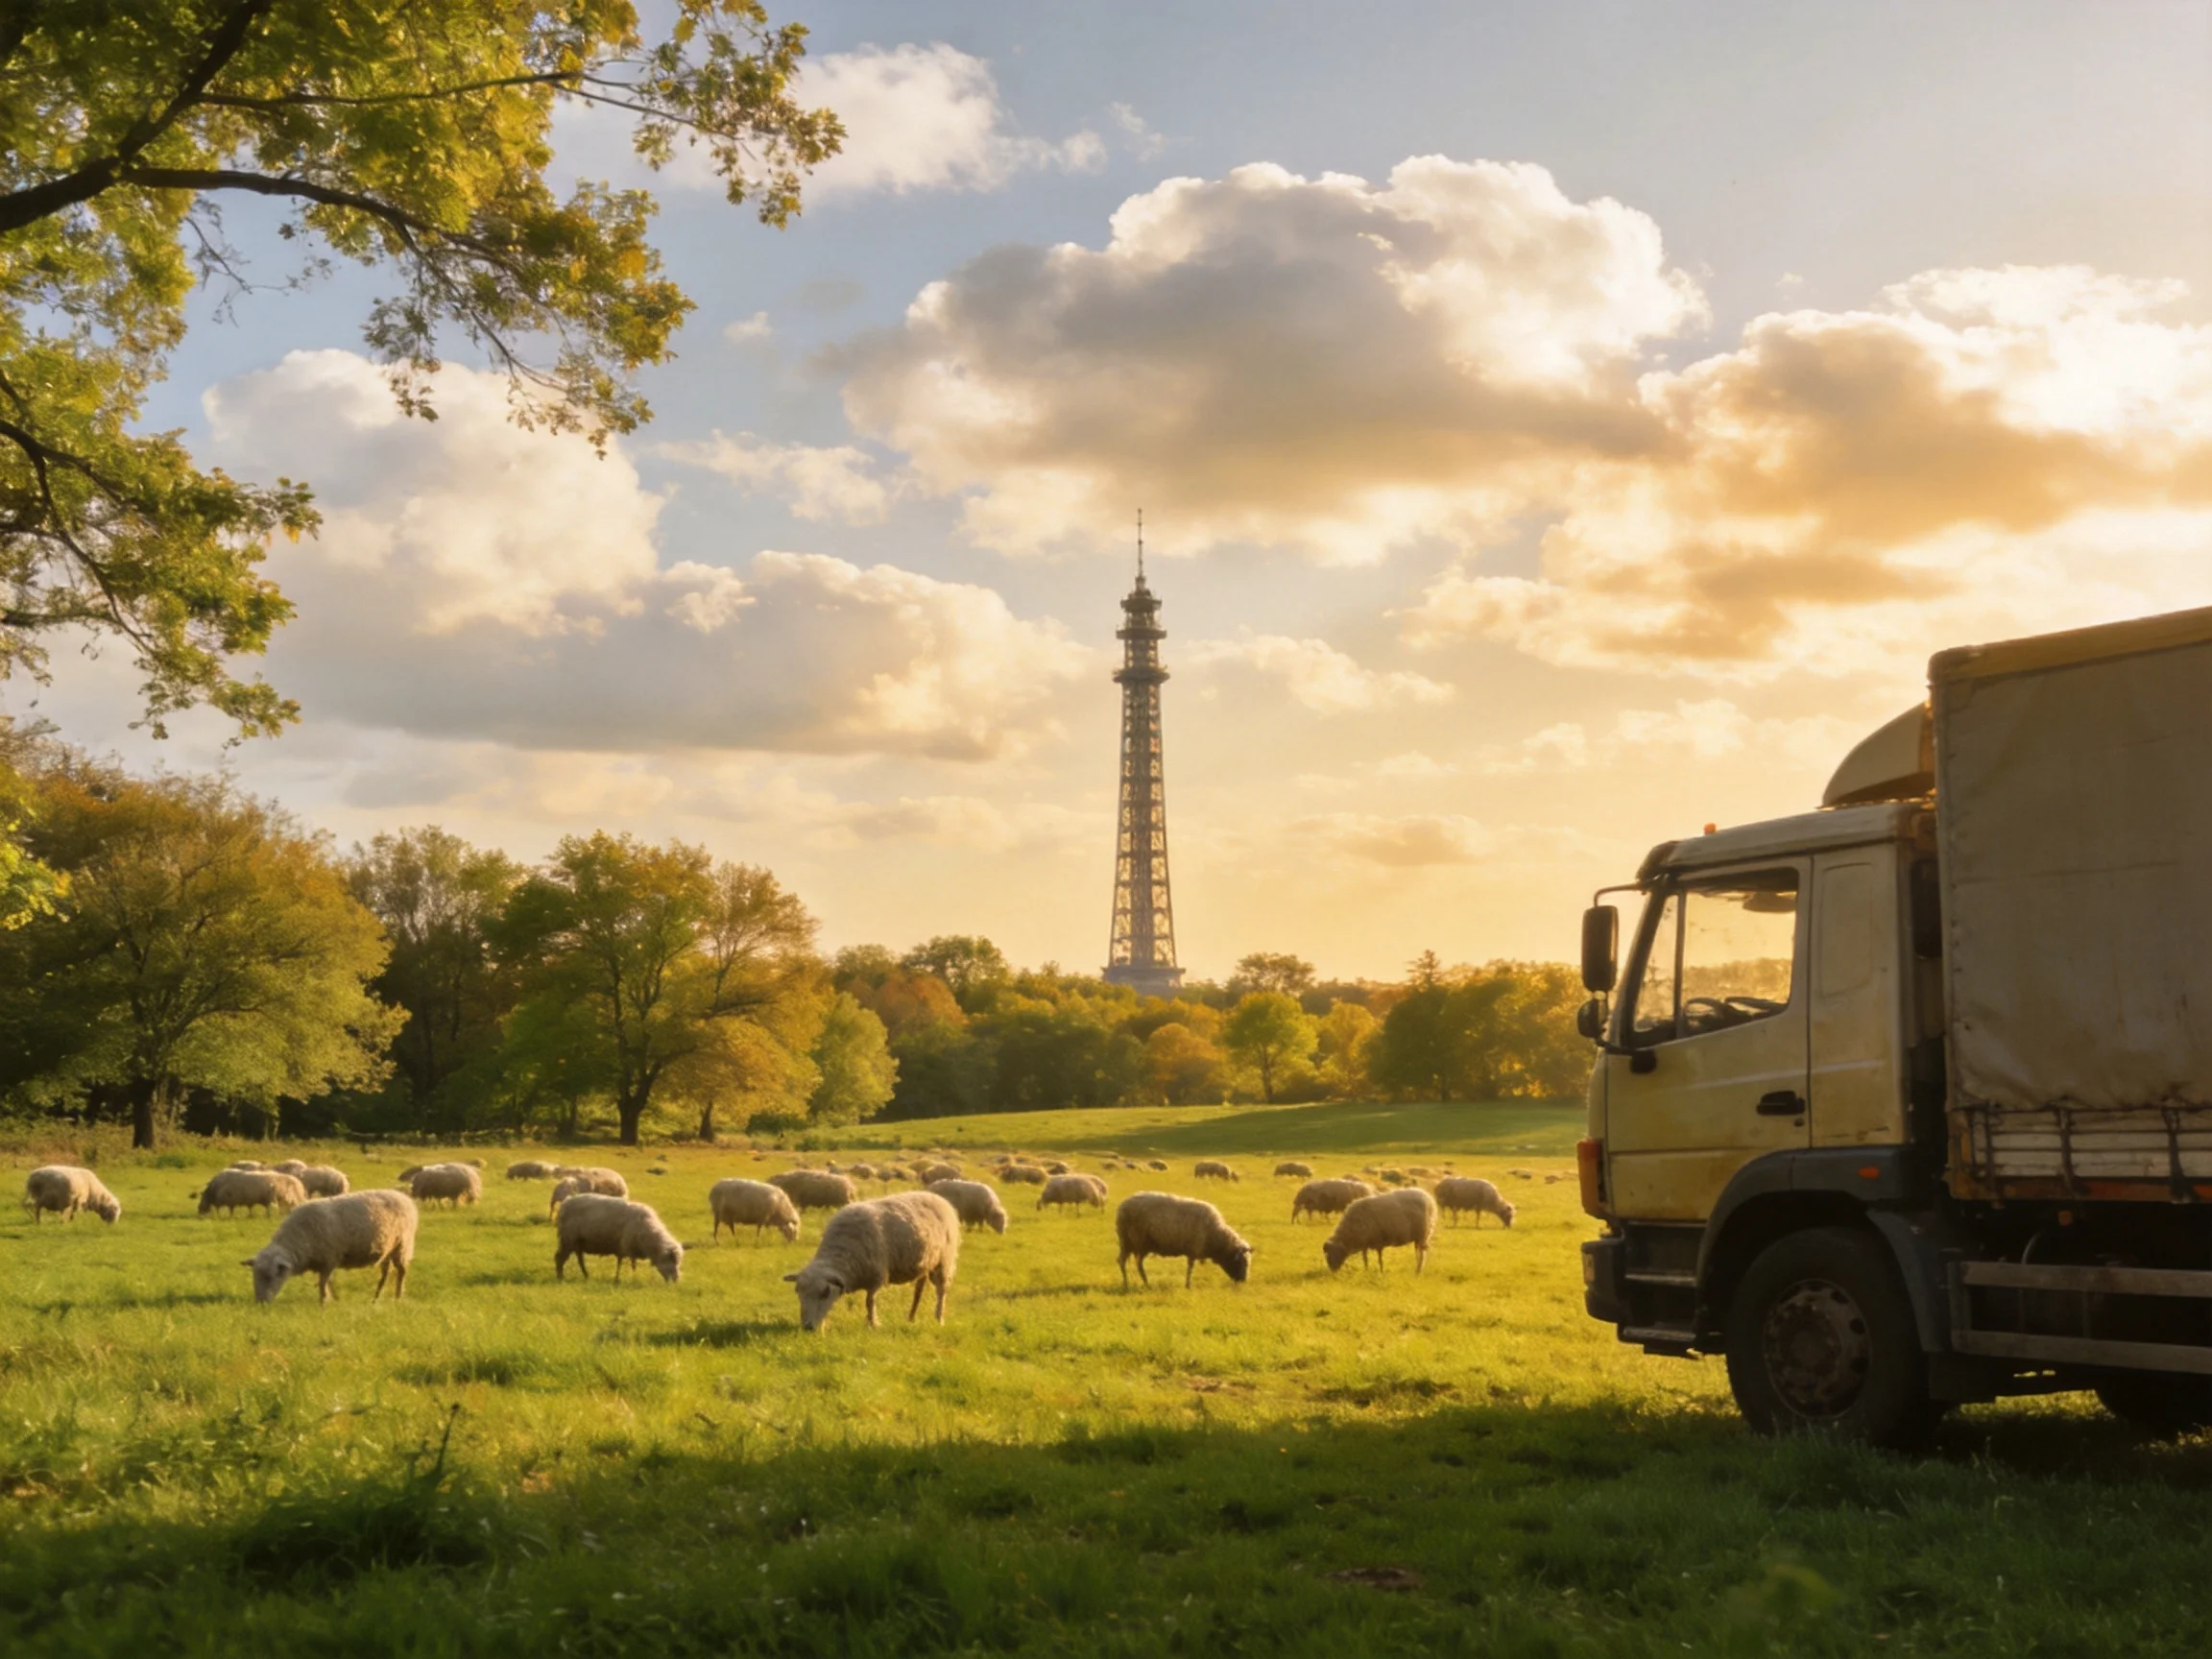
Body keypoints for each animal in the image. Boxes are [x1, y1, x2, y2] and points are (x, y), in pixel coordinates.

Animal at [245, 1190, 417, 1305]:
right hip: (387, 1249)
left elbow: (323, 1283)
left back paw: (397, 1297)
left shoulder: (330, 1258)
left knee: (402, 1272)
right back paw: (376, 1298)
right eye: (254, 1276)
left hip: (402, 1245)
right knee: (385, 1273)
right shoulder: (327, 1261)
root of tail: (404, 1197)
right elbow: (328, 1281)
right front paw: (334, 1298)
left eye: (270, 1277)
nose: (260, 1303)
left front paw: (323, 1302)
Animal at [552, 1193, 684, 1283]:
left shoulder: (626, 1248)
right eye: (672, 1260)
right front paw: (628, 1278)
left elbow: (623, 1263)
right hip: (568, 1238)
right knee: (560, 1258)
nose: (676, 1280)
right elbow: (628, 1265)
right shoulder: (627, 1246)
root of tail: (565, 1202)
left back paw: (585, 1276)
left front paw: (620, 1278)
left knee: (577, 1260)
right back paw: (560, 1278)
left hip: (576, 1242)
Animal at [784, 1191, 962, 1330]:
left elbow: (869, 1302)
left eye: (825, 1292)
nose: (808, 1327)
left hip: (943, 1261)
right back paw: (911, 1317)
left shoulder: (876, 1275)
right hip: (925, 1262)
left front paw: (873, 1324)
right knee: (919, 1289)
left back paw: (938, 1319)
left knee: (941, 1291)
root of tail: (938, 1197)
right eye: (798, 1292)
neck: (843, 1252)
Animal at [1114, 1192, 1252, 1290]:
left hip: (1129, 1242)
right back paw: (1135, 1284)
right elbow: (1190, 1269)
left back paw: (1134, 1283)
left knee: (1124, 1261)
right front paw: (1188, 1285)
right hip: (1136, 1241)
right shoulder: (1193, 1250)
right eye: (1242, 1262)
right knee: (1131, 1263)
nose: (1243, 1281)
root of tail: (1122, 1206)